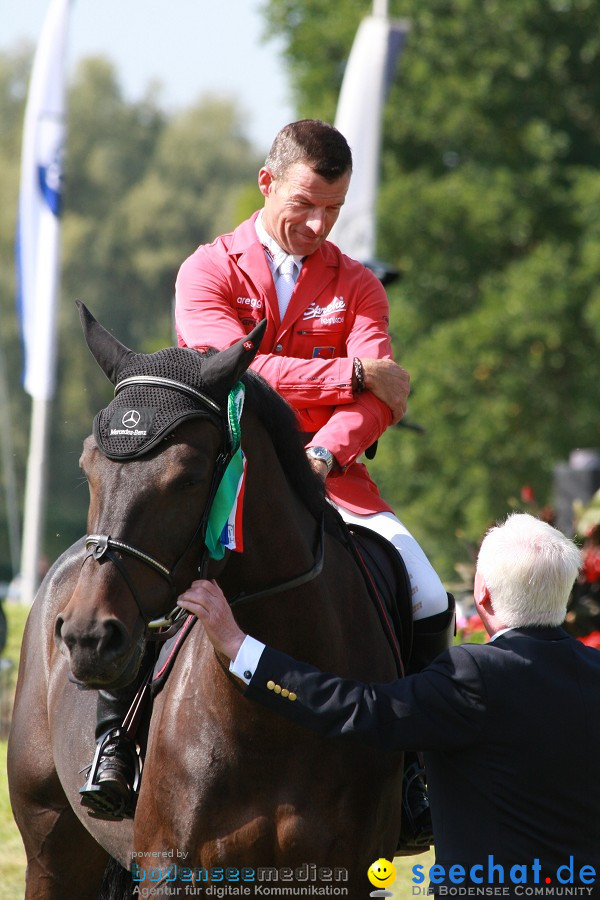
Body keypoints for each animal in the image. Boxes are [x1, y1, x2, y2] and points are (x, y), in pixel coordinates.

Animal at [8, 306, 404, 896]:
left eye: (189, 477)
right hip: (50, 852)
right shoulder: (172, 872)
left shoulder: (348, 874)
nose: (86, 638)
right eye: (87, 467)